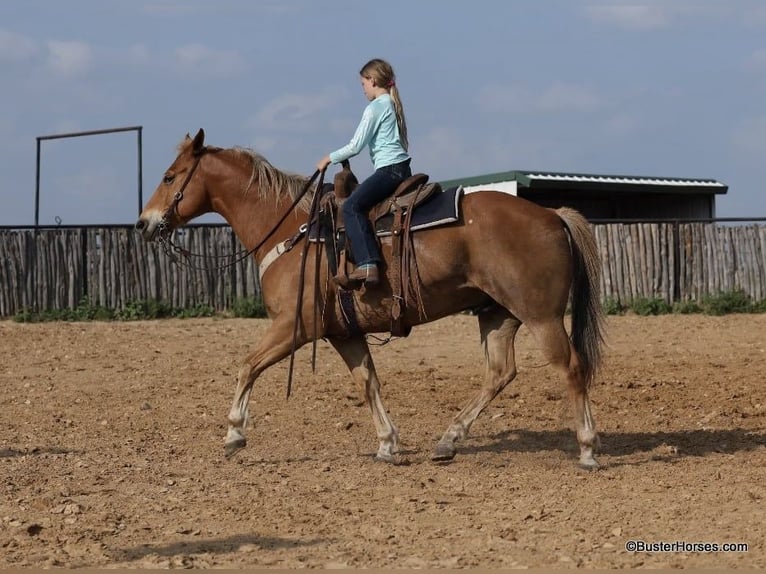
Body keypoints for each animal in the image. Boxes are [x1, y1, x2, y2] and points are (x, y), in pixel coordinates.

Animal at [135, 129, 608, 468]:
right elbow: (368, 382)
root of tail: (552, 216)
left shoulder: (294, 327)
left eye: (169, 176)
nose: (144, 223)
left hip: (541, 316)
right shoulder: (343, 333)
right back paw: (448, 441)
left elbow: (247, 366)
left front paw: (234, 434)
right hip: (498, 313)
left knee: (572, 367)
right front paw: (387, 443)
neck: (293, 233)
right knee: (499, 373)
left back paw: (587, 449)